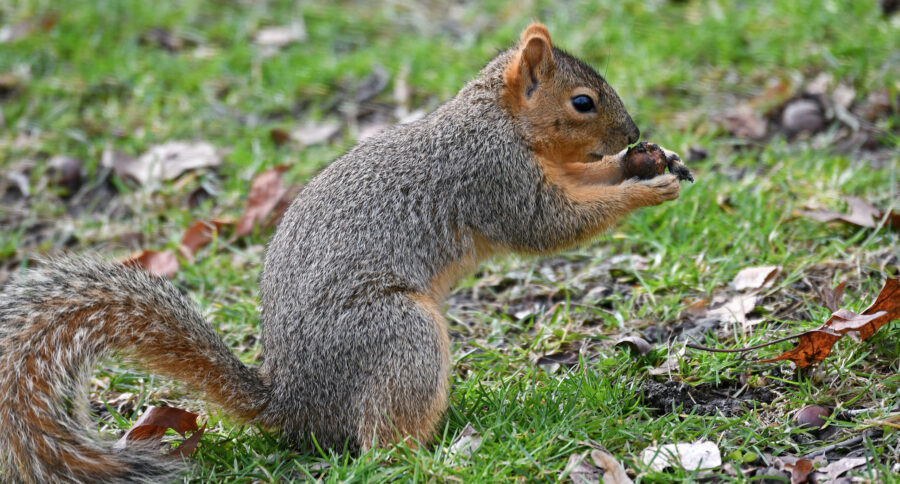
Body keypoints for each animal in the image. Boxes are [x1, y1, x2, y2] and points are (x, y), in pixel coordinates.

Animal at [1, 23, 688, 484]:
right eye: (582, 102)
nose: (631, 134)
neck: (498, 119)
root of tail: (292, 407)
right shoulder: (494, 176)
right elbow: (551, 225)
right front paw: (644, 187)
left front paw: (643, 162)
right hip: (399, 334)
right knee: (379, 443)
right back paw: (435, 453)